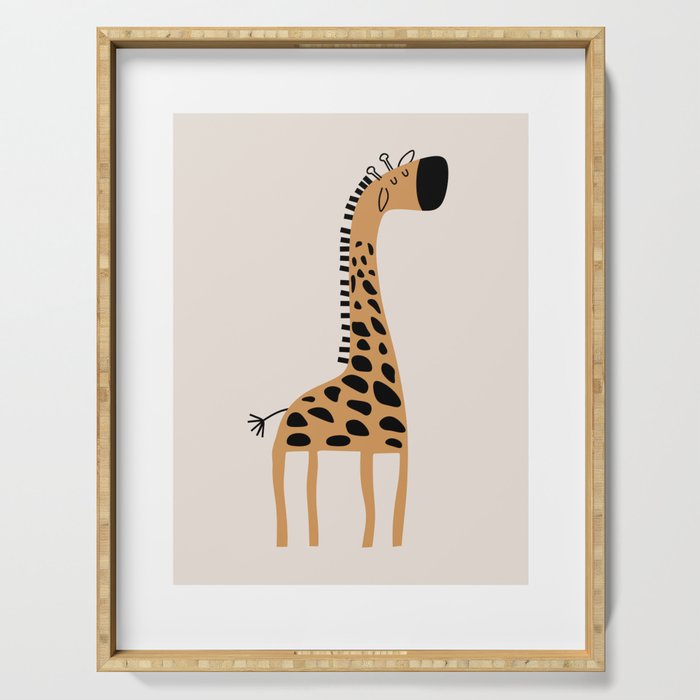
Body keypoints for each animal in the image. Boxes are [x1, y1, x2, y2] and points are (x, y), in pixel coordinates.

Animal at [249, 149, 449, 548]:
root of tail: (280, 421)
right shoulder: (392, 448)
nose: (440, 169)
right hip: (299, 456)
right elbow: (381, 513)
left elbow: (382, 515)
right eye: (398, 176)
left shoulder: (387, 453)